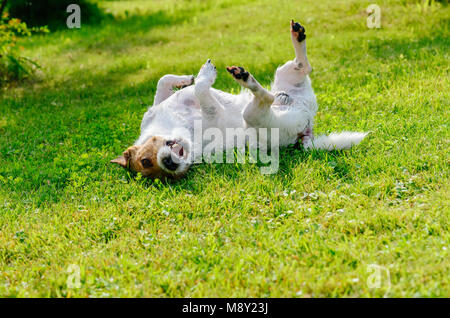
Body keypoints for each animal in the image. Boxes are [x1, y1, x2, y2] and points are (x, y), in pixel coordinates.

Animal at [111, 19, 366, 179]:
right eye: (157, 172)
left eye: (145, 160)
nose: (170, 164)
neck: (175, 127)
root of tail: (306, 129)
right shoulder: (212, 113)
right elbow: (201, 89)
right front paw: (203, 76)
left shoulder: (156, 107)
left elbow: (163, 81)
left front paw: (186, 79)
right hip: (256, 116)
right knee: (266, 97)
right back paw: (246, 79)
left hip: (285, 72)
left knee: (303, 65)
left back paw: (296, 36)